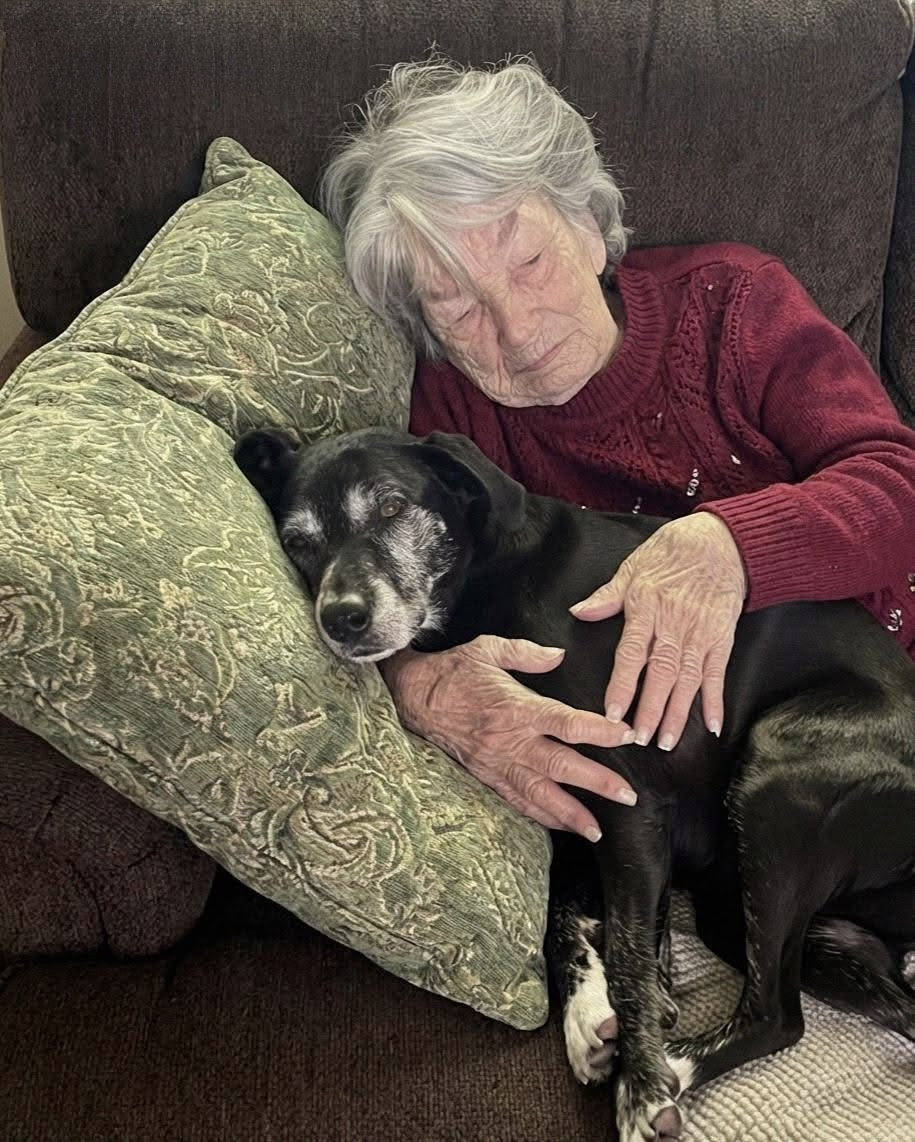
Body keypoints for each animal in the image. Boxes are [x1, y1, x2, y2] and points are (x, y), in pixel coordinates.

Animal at [235, 425, 915, 1142]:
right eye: (297, 541)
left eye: (392, 507)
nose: (341, 617)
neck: (487, 578)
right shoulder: (565, 804)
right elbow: (567, 913)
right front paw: (590, 1011)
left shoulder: (630, 807)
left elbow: (627, 952)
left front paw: (640, 1081)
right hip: (742, 906)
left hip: (775, 782)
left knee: (778, 1015)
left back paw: (673, 1068)